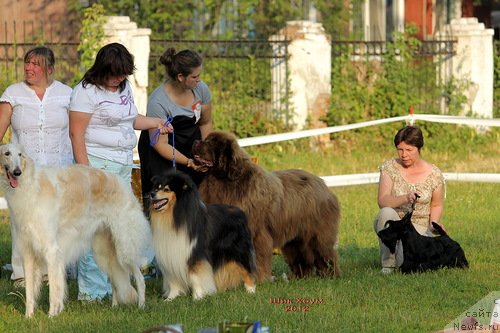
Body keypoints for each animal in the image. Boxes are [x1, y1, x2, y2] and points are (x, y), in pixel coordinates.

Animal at [0, 143, 152, 316]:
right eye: (6, 153)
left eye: (20, 155)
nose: (17, 172)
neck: (30, 187)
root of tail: (122, 184)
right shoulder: (28, 251)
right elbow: (30, 293)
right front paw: (29, 316)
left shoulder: (51, 250)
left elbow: (54, 290)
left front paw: (52, 314)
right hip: (105, 251)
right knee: (116, 280)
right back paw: (114, 306)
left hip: (124, 248)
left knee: (140, 278)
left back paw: (141, 306)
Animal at [147, 169, 258, 298]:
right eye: (157, 188)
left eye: (167, 189)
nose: (151, 194)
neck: (174, 217)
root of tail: (241, 212)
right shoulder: (171, 255)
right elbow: (173, 281)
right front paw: (171, 298)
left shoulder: (195, 253)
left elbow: (195, 276)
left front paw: (198, 297)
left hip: (239, 251)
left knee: (247, 270)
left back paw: (250, 290)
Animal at [193, 130, 342, 280]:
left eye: (212, 142)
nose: (195, 142)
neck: (225, 181)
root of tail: (323, 184)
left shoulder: (256, 233)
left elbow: (257, 257)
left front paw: (258, 278)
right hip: (295, 239)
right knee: (302, 257)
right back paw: (300, 277)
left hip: (317, 234)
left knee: (326, 254)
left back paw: (331, 275)